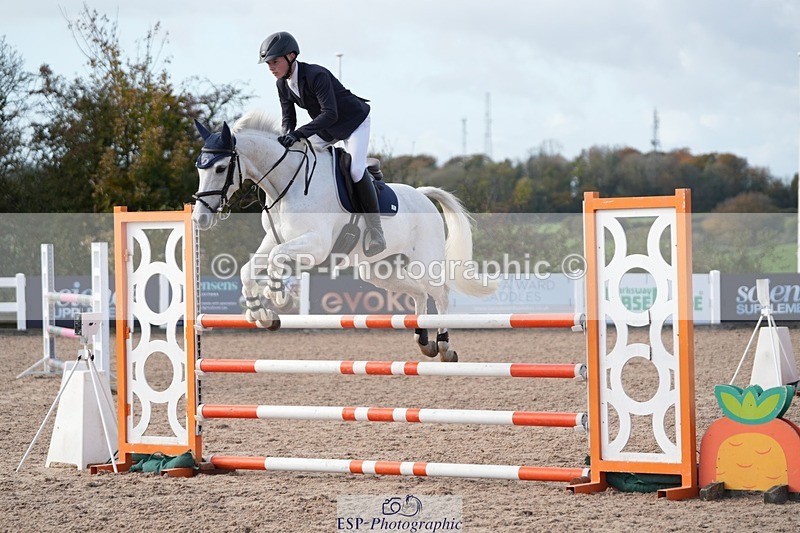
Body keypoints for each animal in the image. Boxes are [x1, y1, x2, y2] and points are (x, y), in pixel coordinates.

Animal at [192, 110, 497, 361]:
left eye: (220, 168)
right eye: (199, 167)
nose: (199, 219)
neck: (289, 184)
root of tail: (422, 195)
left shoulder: (316, 245)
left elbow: (277, 259)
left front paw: (278, 298)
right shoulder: (273, 240)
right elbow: (248, 269)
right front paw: (261, 313)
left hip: (424, 261)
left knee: (441, 294)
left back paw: (444, 345)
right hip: (379, 270)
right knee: (419, 293)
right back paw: (424, 342)